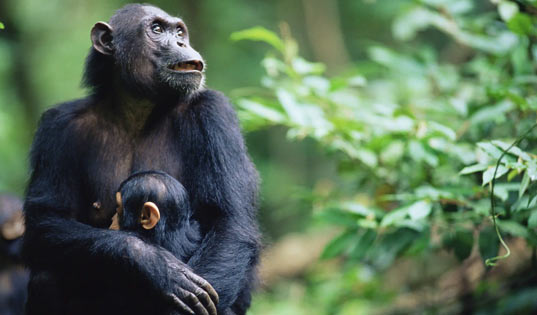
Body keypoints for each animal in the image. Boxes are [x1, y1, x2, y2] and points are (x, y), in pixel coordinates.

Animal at [23, 3, 260, 315]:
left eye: (179, 32)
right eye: (157, 29)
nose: (181, 43)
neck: (137, 108)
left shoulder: (215, 114)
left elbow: (229, 221)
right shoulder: (57, 128)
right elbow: (46, 218)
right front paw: (156, 265)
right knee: (46, 277)